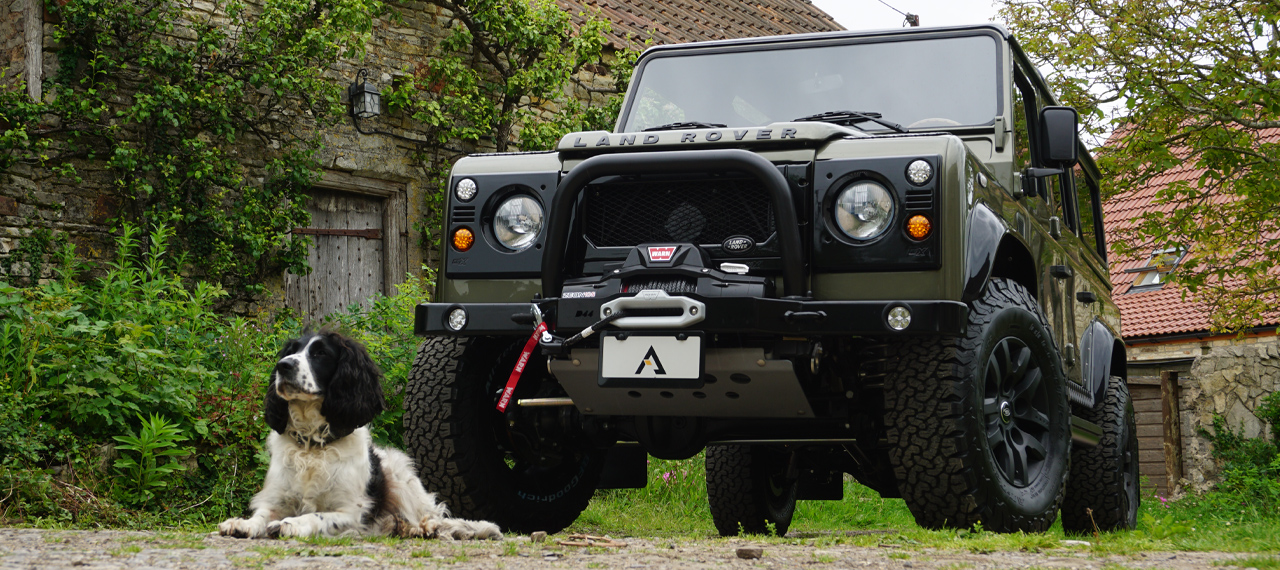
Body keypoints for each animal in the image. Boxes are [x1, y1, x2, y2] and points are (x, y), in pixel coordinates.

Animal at [220, 327, 499, 537]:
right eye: (291, 352)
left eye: (320, 353)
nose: (283, 365)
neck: (312, 445)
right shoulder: (275, 500)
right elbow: (262, 515)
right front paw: (243, 523)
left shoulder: (351, 512)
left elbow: (316, 516)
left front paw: (291, 523)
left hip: (401, 476)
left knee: (432, 515)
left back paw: (424, 527)